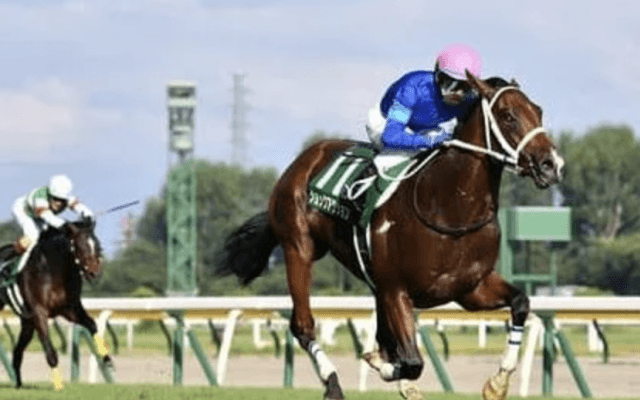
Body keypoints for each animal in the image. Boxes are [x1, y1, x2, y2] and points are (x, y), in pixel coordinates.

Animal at [0, 218, 111, 390]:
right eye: (81, 246)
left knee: (18, 351)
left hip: (27, 322)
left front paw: (106, 356)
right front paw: (58, 385)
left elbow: (92, 324)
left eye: (97, 245)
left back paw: (18, 383)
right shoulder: (39, 312)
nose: (95, 271)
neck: (52, 270)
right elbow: (49, 348)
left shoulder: (70, 309)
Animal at [216, 71, 564, 400]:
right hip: (298, 247)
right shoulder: (397, 289)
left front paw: (498, 383)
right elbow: (411, 362)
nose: (551, 164)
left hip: (373, 280)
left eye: (538, 111)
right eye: (508, 115)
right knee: (303, 325)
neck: (449, 205)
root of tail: (305, 158)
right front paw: (380, 364)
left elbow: (520, 303)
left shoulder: (469, 288)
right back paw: (333, 383)